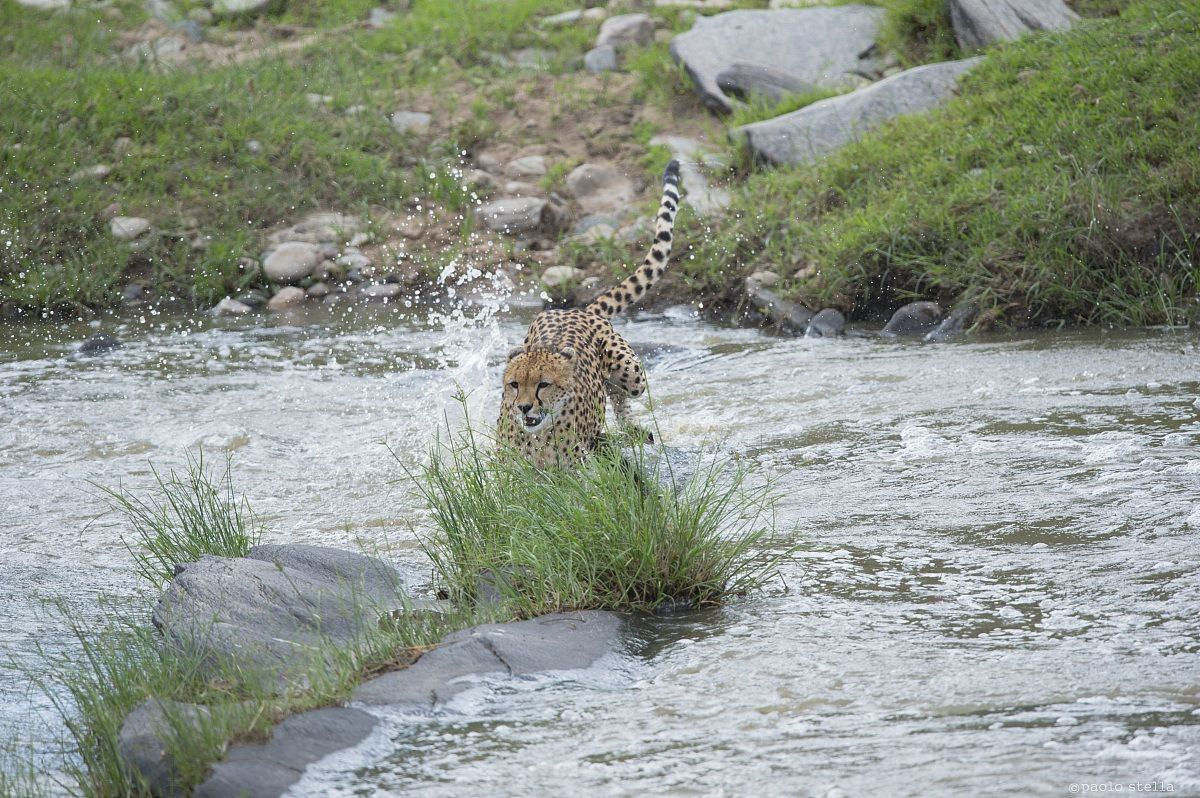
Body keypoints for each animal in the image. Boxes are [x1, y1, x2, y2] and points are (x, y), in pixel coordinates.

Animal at [497, 159, 682, 468]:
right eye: (514, 384)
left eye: (543, 384)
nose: (523, 407)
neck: (539, 434)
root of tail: (579, 310)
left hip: (632, 373)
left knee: (619, 393)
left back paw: (631, 428)